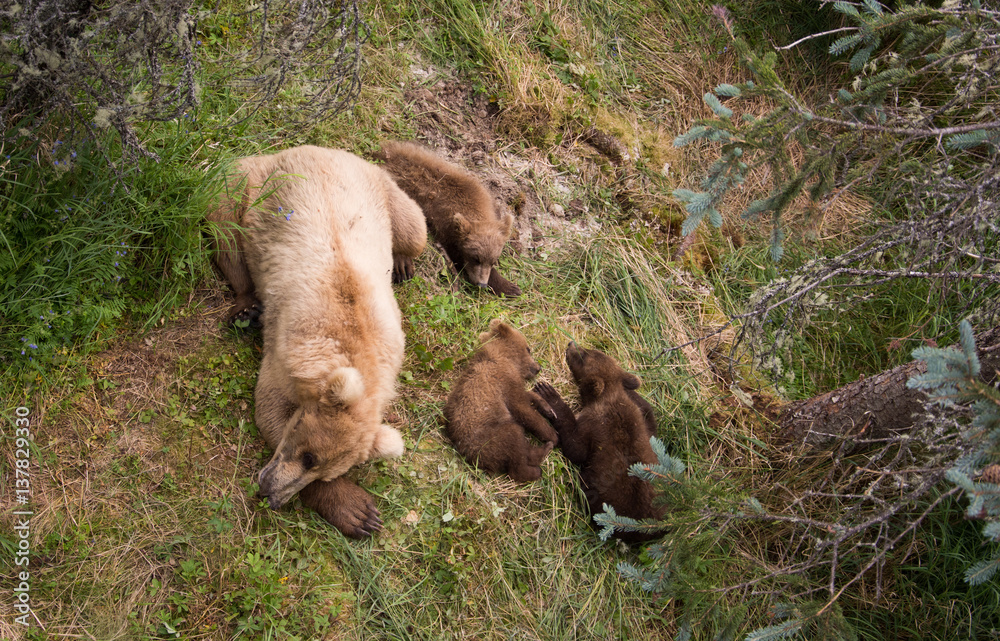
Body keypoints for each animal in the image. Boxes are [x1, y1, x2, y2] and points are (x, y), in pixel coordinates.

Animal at [206, 145, 427, 538]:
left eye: (322, 469)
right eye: (309, 457)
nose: (269, 492)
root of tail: (314, 148)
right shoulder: (287, 347)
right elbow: (270, 409)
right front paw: (358, 512)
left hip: (385, 192)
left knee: (415, 230)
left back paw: (402, 264)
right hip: (251, 186)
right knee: (226, 226)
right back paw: (246, 310)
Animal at [372, 141, 522, 297]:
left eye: (493, 261)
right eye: (475, 258)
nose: (481, 284)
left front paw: (510, 287)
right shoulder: (444, 224)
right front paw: (508, 286)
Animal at [443, 319, 559, 482]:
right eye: (528, 348)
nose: (538, 368)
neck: (504, 356)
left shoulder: (512, 384)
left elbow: (527, 395)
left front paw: (548, 408)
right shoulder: (503, 380)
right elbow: (522, 409)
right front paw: (552, 434)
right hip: (495, 434)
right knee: (517, 455)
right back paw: (541, 460)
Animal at [533, 342, 663, 543]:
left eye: (583, 356)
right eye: (592, 350)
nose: (571, 344)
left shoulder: (594, 425)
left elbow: (575, 447)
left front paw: (548, 393)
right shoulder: (641, 421)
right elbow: (648, 416)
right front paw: (633, 384)